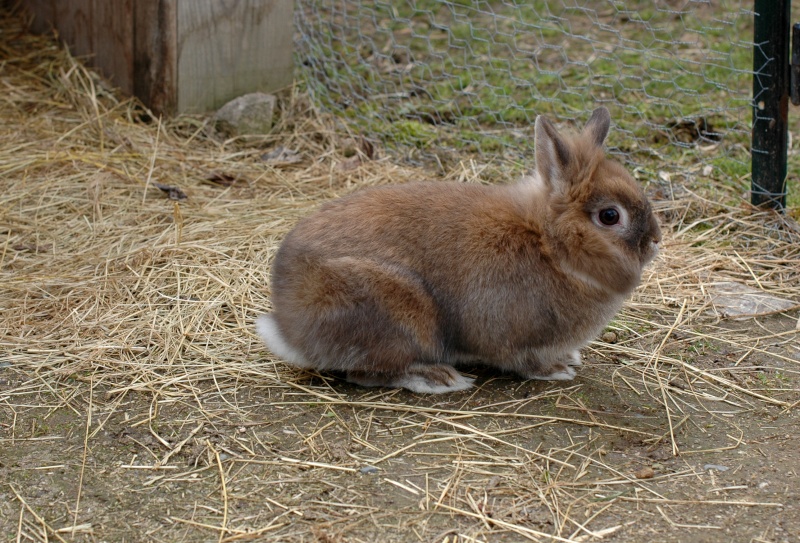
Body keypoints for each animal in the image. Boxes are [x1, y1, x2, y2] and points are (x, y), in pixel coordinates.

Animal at [258, 108, 664, 394]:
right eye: (610, 216)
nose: (656, 240)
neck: (548, 244)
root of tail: (290, 328)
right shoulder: (513, 336)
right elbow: (524, 362)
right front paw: (557, 370)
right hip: (397, 316)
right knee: (368, 373)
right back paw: (437, 377)